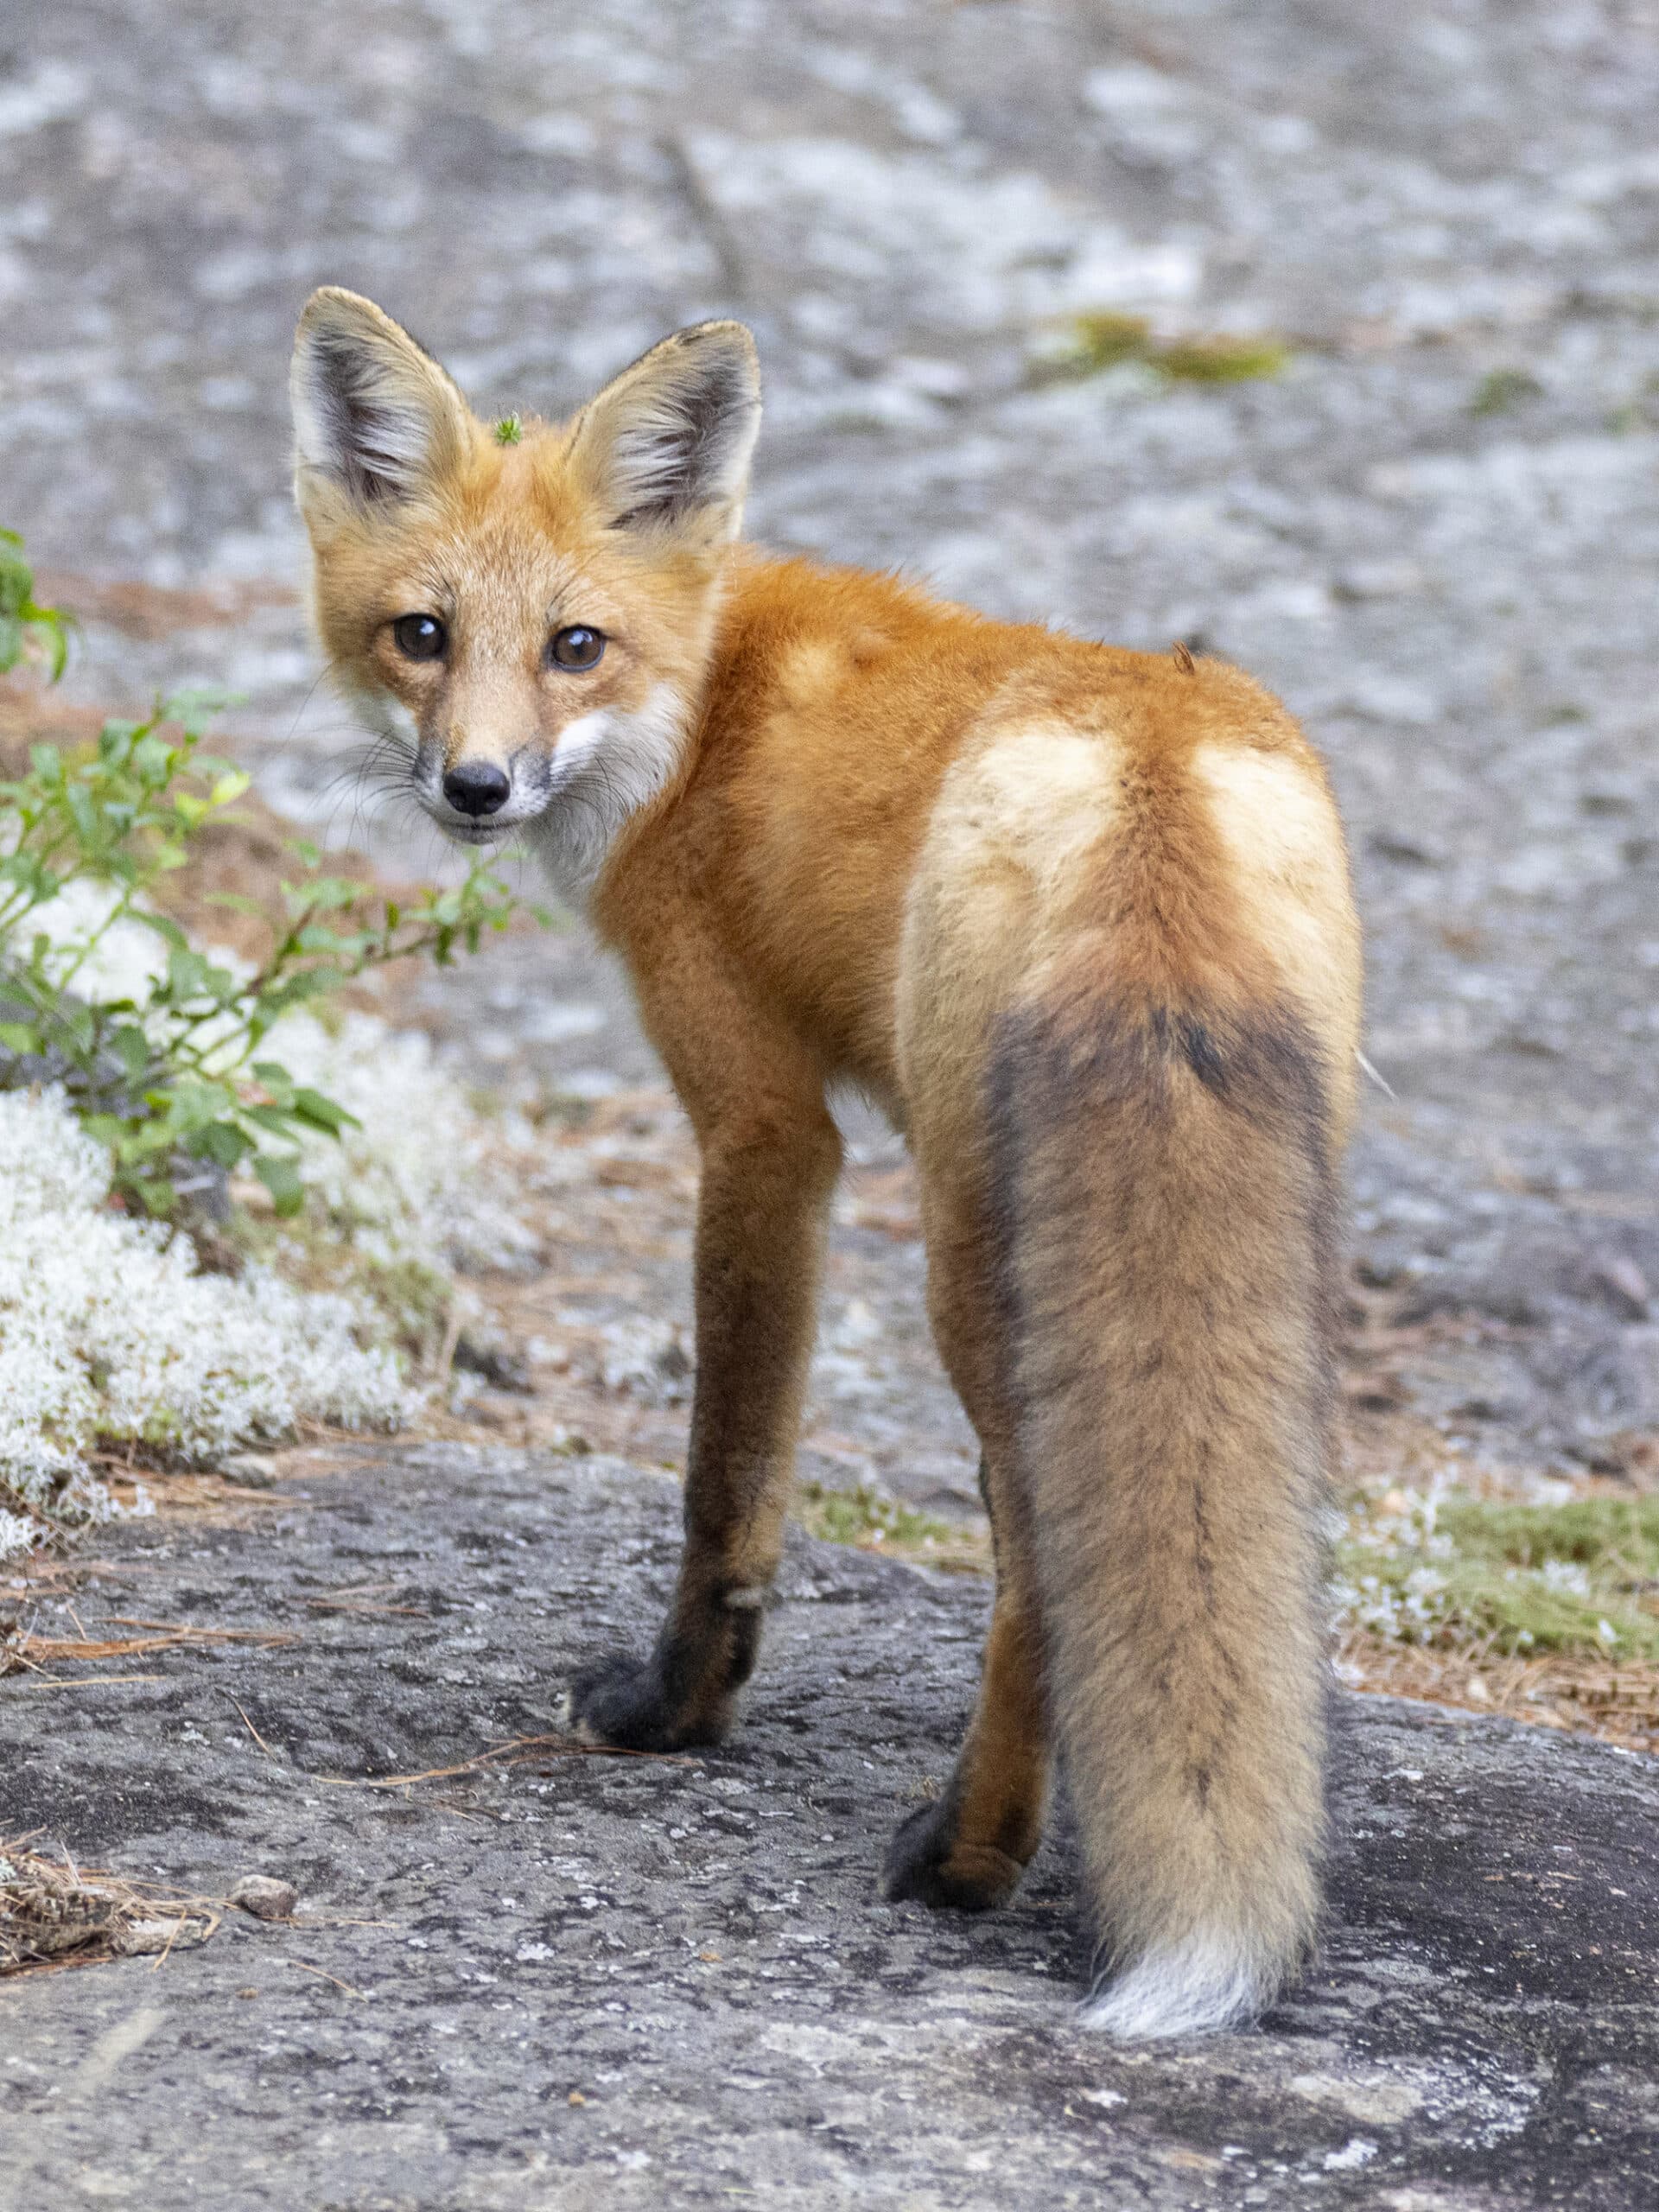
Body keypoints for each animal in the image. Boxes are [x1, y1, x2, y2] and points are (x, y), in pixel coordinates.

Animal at [296, 289, 1362, 2035]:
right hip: (1274, 1217)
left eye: (574, 647)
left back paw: (970, 1858)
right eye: (423, 634)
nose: (476, 786)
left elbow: (725, 1481)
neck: (700, 706)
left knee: (1038, 1563)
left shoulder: (763, 1127)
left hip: (966, 1248)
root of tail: (1150, 760)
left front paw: (677, 1711)